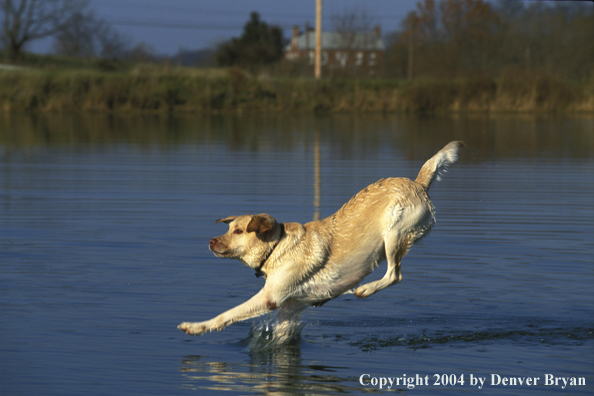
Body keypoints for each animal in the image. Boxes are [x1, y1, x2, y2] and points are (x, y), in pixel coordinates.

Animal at [177, 141, 462, 336]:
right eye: (228, 229)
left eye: (237, 232)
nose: (211, 242)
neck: (277, 248)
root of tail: (418, 183)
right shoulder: (289, 308)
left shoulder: (270, 297)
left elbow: (226, 314)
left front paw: (196, 326)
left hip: (393, 232)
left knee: (395, 274)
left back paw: (365, 289)